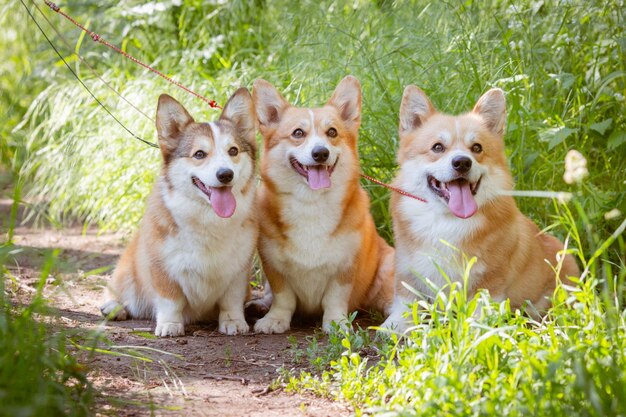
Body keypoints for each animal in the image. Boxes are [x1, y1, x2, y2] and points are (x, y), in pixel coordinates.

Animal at [101, 89, 258, 336]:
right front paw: (170, 325)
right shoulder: (163, 268)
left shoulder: (238, 271)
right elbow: (171, 300)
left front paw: (233, 322)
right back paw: (113, 307)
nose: (225, 174)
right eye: (199, 154)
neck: (208, 218)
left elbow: (231, 300)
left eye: (233, 150)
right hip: (127, 272)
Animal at [247, 75, 390, 334]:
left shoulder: (345, 268)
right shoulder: (274, 267)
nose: (320, 153)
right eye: (298, 133)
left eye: (332, 132)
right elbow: (283, 297)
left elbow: (334, 298)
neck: (311, 203)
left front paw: (336, 323)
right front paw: (275, 319)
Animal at [378, 87, 576, 332]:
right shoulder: (408, 269)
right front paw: (393, 326)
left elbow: (479, 311)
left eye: (476, 148)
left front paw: (475, 332)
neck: (447, 221)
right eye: (437, 147)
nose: (462, 162)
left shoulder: (489, 280)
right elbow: (405, 300)